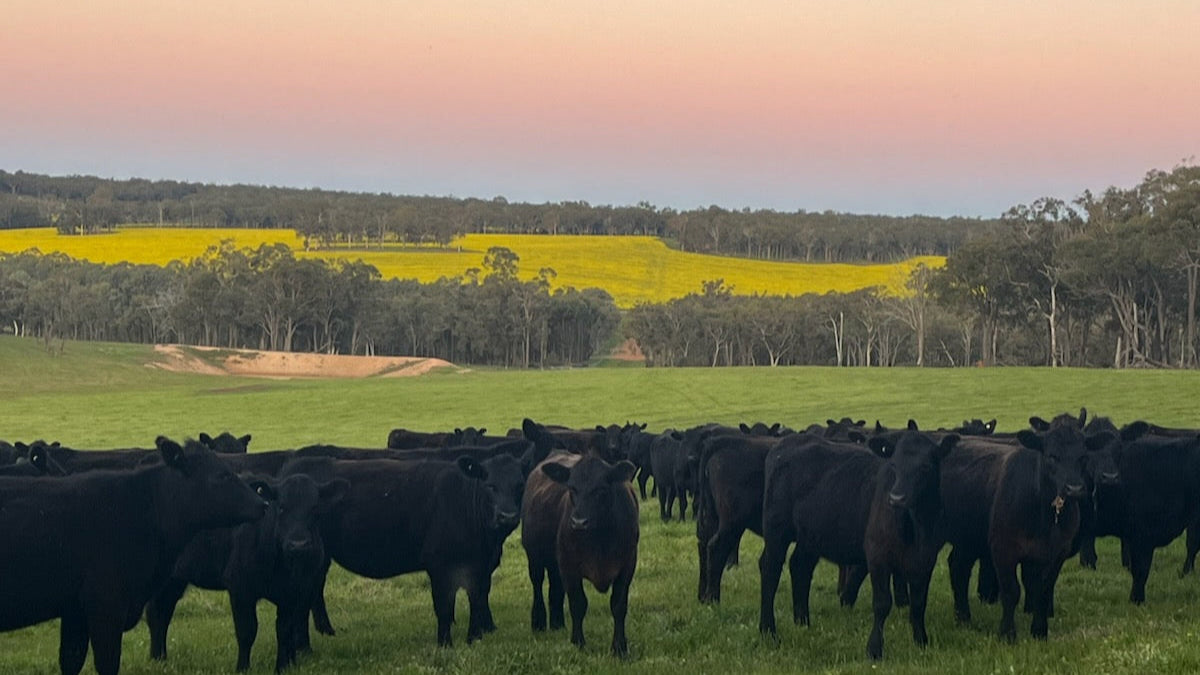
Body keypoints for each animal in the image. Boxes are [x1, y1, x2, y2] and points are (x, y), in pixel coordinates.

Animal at [0, 437, 267, 675]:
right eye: (222, 476)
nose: (263, 504)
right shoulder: (106, 606)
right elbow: (107, 664)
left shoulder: (74, 610)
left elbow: (71, 661)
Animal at [146, 473, 348, 672]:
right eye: (281, 507)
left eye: (315, 509)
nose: (298, 544)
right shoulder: (240, 587)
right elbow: (247, 631)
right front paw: (243, 668)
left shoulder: (295, 592)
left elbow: (285, 630)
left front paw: (283, 667)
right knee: (156, 614)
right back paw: (157, 659)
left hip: (174, 580)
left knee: (162, 612)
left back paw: (161, 659)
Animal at [522, 453, 639, 656]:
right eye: (571, 488)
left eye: (601, 489)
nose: (578, 522)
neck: (600, 539)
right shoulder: (569, 567)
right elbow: (578, 604)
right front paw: (578, 642)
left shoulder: (627, 565)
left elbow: (618, 606)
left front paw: (619, 647)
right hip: (534, 557)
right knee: (537, 585)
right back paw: (539, 622)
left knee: (555, 588)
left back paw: (557, 623)